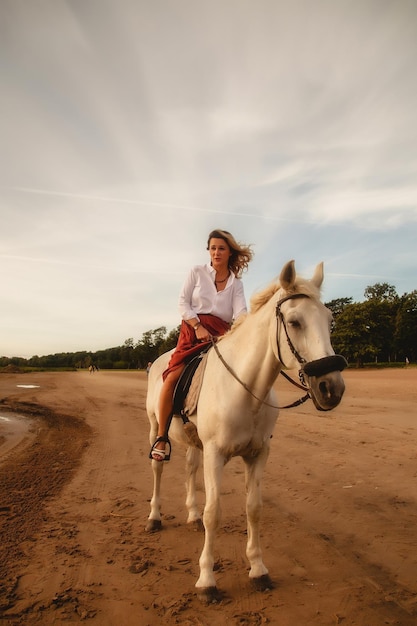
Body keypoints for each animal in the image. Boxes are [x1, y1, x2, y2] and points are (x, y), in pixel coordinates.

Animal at [145, 258, 346, 600]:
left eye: (330, 321)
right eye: (294, 322)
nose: (331, 387)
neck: (246, 389)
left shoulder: (258, 453)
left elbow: (254, 508)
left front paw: (258, 569)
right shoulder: (215, 454)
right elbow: (214, 513)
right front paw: (207, 580)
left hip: (194, 442)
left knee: (189, 469)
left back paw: (191, 514)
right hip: (155, 428)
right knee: (158, 469)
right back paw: (155, 517)